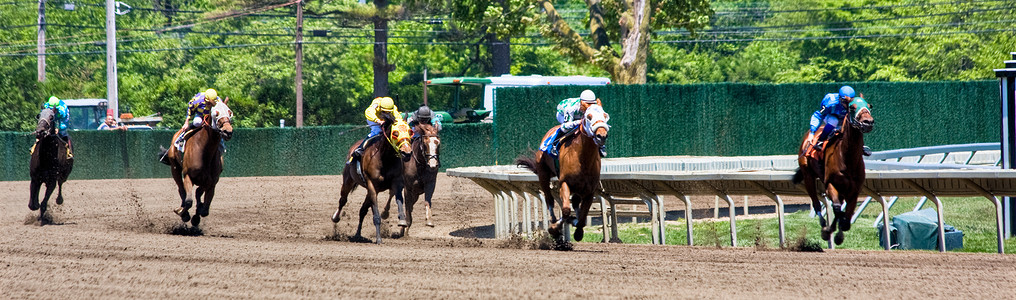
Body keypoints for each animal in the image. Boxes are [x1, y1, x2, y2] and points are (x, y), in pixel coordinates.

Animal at [333, 113, 412, 244]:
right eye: (395, 133)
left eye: (410, 131)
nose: (407, 153)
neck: (385, 158)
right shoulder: (372, 185)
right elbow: (376, 214)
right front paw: (379, 238)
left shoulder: (397, 182)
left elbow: (399, 200)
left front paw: (402, 220)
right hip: (348, 181)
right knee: (343, 200)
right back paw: (335, 218)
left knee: (362, 210)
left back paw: (358, 234)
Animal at [516, 105, 609, 247]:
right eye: (589, 117)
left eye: (605, 115)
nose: (601, 135)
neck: (583, 158)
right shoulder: (565, 183)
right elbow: (565, 210)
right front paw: (554, 229)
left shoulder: (589, 191)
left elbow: (582, 217)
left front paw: (578, 230)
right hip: (543, 174)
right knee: (549, 199)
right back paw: (554, 220)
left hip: (579, 187)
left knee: (575, 202)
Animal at [792, 97, 873, 246]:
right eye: (852, 107)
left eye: (869, 106)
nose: (868, 122)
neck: (847, 158)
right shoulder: (831, 183)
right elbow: (836, 208)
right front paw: (828, 231)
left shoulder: (854, 189)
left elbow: (846, 215)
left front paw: (839, 233)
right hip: (808, 176)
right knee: (816, 203)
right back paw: (823, 224)